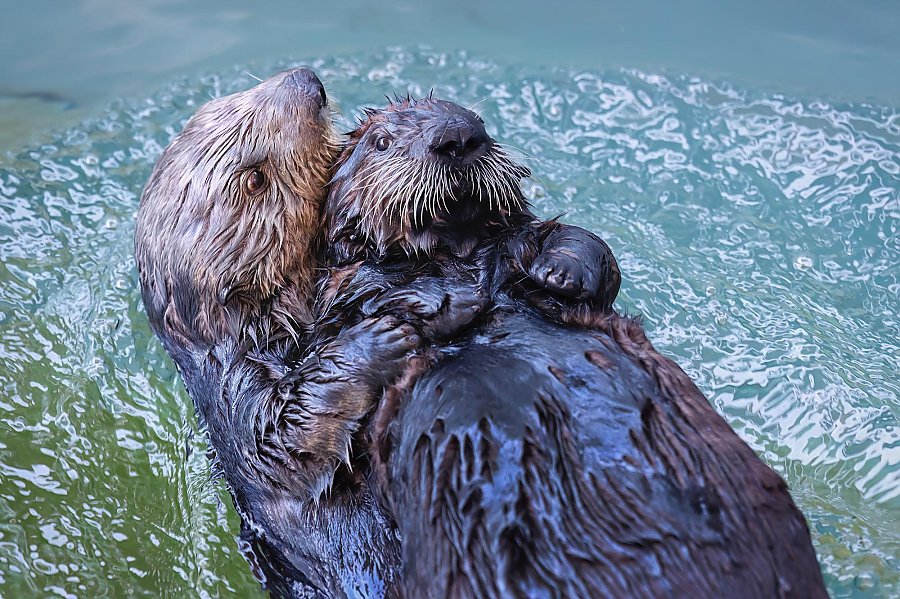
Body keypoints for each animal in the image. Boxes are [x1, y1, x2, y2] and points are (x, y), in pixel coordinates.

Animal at [318, 97, 828, 597]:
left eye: (477, 118)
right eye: (381, 141)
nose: (458, 135)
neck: (457, 257)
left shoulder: (524, 243)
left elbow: (583, 245)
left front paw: (558, 271)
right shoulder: (347, 295)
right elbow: (366, 296)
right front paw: (442, 300)